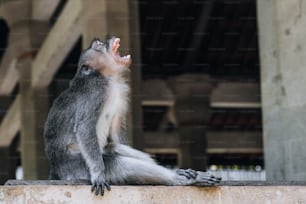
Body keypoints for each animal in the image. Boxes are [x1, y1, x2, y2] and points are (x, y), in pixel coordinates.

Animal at [42, 36, 220, 196]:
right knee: (118, 164)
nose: (107, 40)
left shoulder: (120, 91)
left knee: (115, 148)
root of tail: (56, 170)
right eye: (99, 44)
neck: (108, 78)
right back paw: (180, 179)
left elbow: (115, 133)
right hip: (74, 167)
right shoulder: (95, 90)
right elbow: (85, 127)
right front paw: (98, 174)